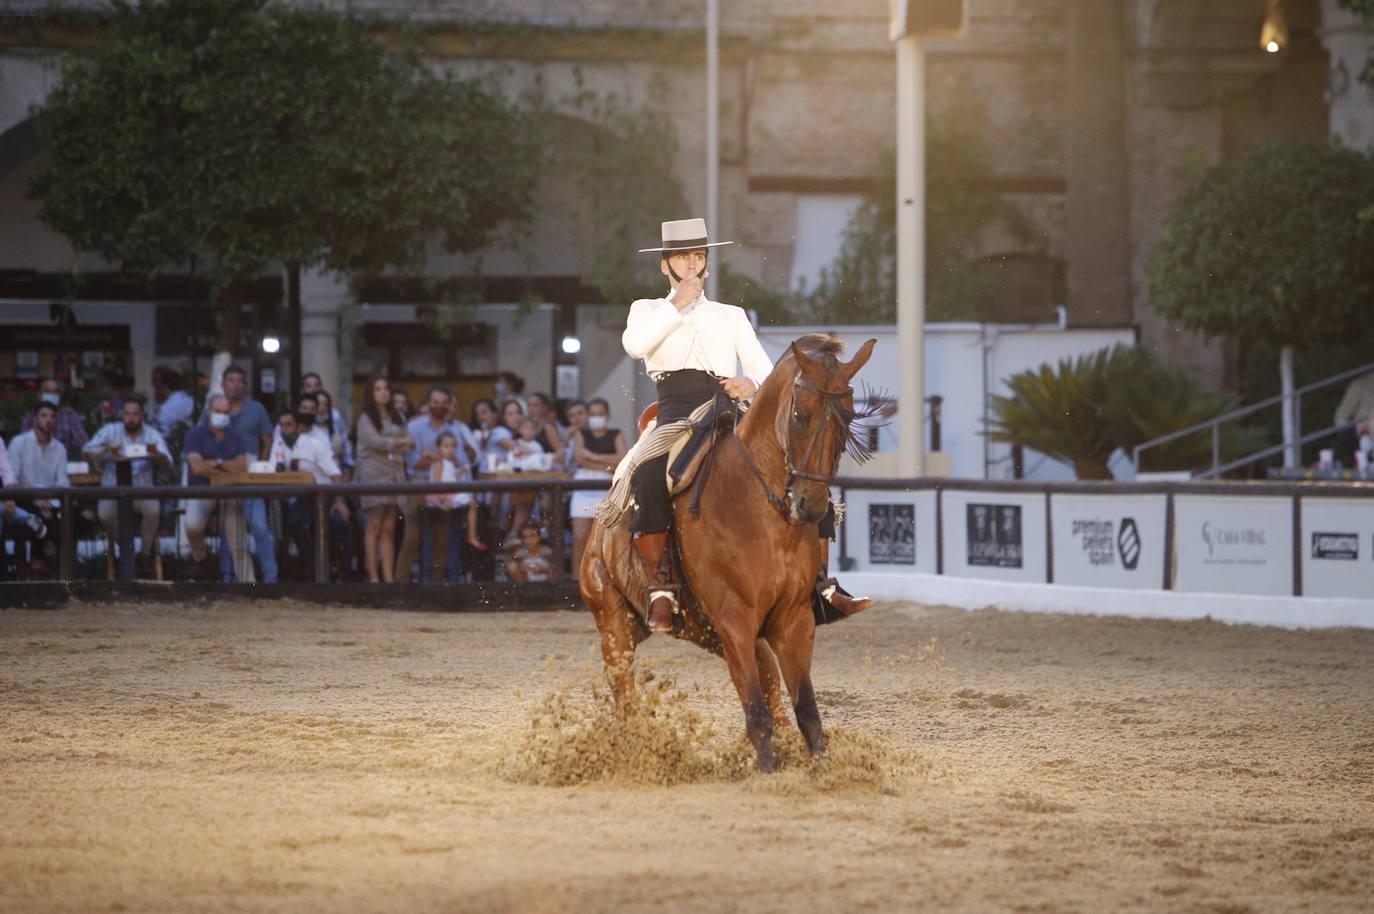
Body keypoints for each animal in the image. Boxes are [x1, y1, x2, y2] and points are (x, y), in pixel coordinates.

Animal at [574, 331, 873, 764]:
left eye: (848, 417)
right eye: (799, 415)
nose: (810, 505)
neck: (753, 506)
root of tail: (599, 532)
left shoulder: (793, 621)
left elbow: (807, 713)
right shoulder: (734, 620)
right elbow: (756, 716)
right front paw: (769, 769)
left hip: (710, 632)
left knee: (769, 681)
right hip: (616, 625)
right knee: (625, 695)